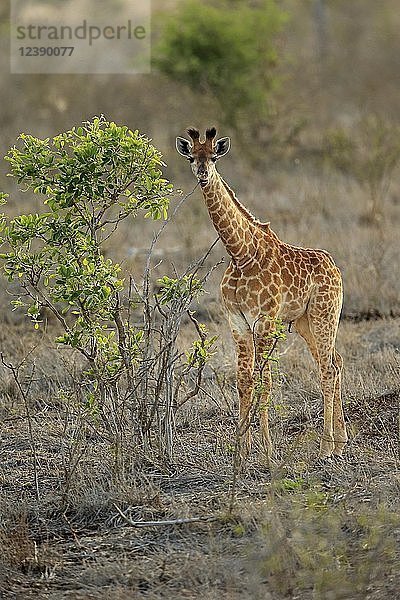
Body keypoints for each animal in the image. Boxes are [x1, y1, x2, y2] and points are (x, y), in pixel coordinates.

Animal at [175, 126, 346, 464]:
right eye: (191, 157)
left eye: (213, 157)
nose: (202, 175)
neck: (241, 254)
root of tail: (334, 268)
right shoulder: (237, 322)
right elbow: (244, 381)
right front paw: (241, 451)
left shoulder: (265, 321)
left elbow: (264, 382)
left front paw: (267, 452)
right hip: (305, 322)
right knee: (336, 361)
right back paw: (341, 442)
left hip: (325, 314)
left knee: (327, 368)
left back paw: (325, 449)